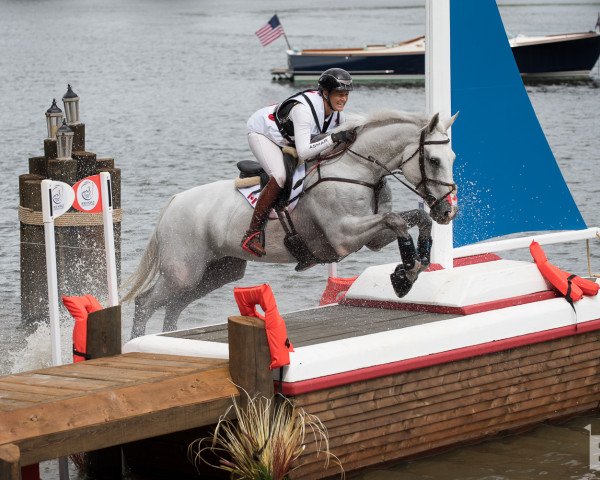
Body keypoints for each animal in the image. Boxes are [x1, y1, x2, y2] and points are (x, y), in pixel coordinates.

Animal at [123, 111, 460, 338]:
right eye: (433, 160)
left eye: (453, 157)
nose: (447, 211)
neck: (357, 168)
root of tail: (173, 203)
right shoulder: (345, 235)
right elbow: (397, 221)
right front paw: (405, 275)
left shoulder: (372, 238)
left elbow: (414, 219)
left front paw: (413, 268)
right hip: (184, 272)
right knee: (146, 302)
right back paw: (138, 344)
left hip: (217, 272)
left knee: (173, 305)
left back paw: (164, 336)